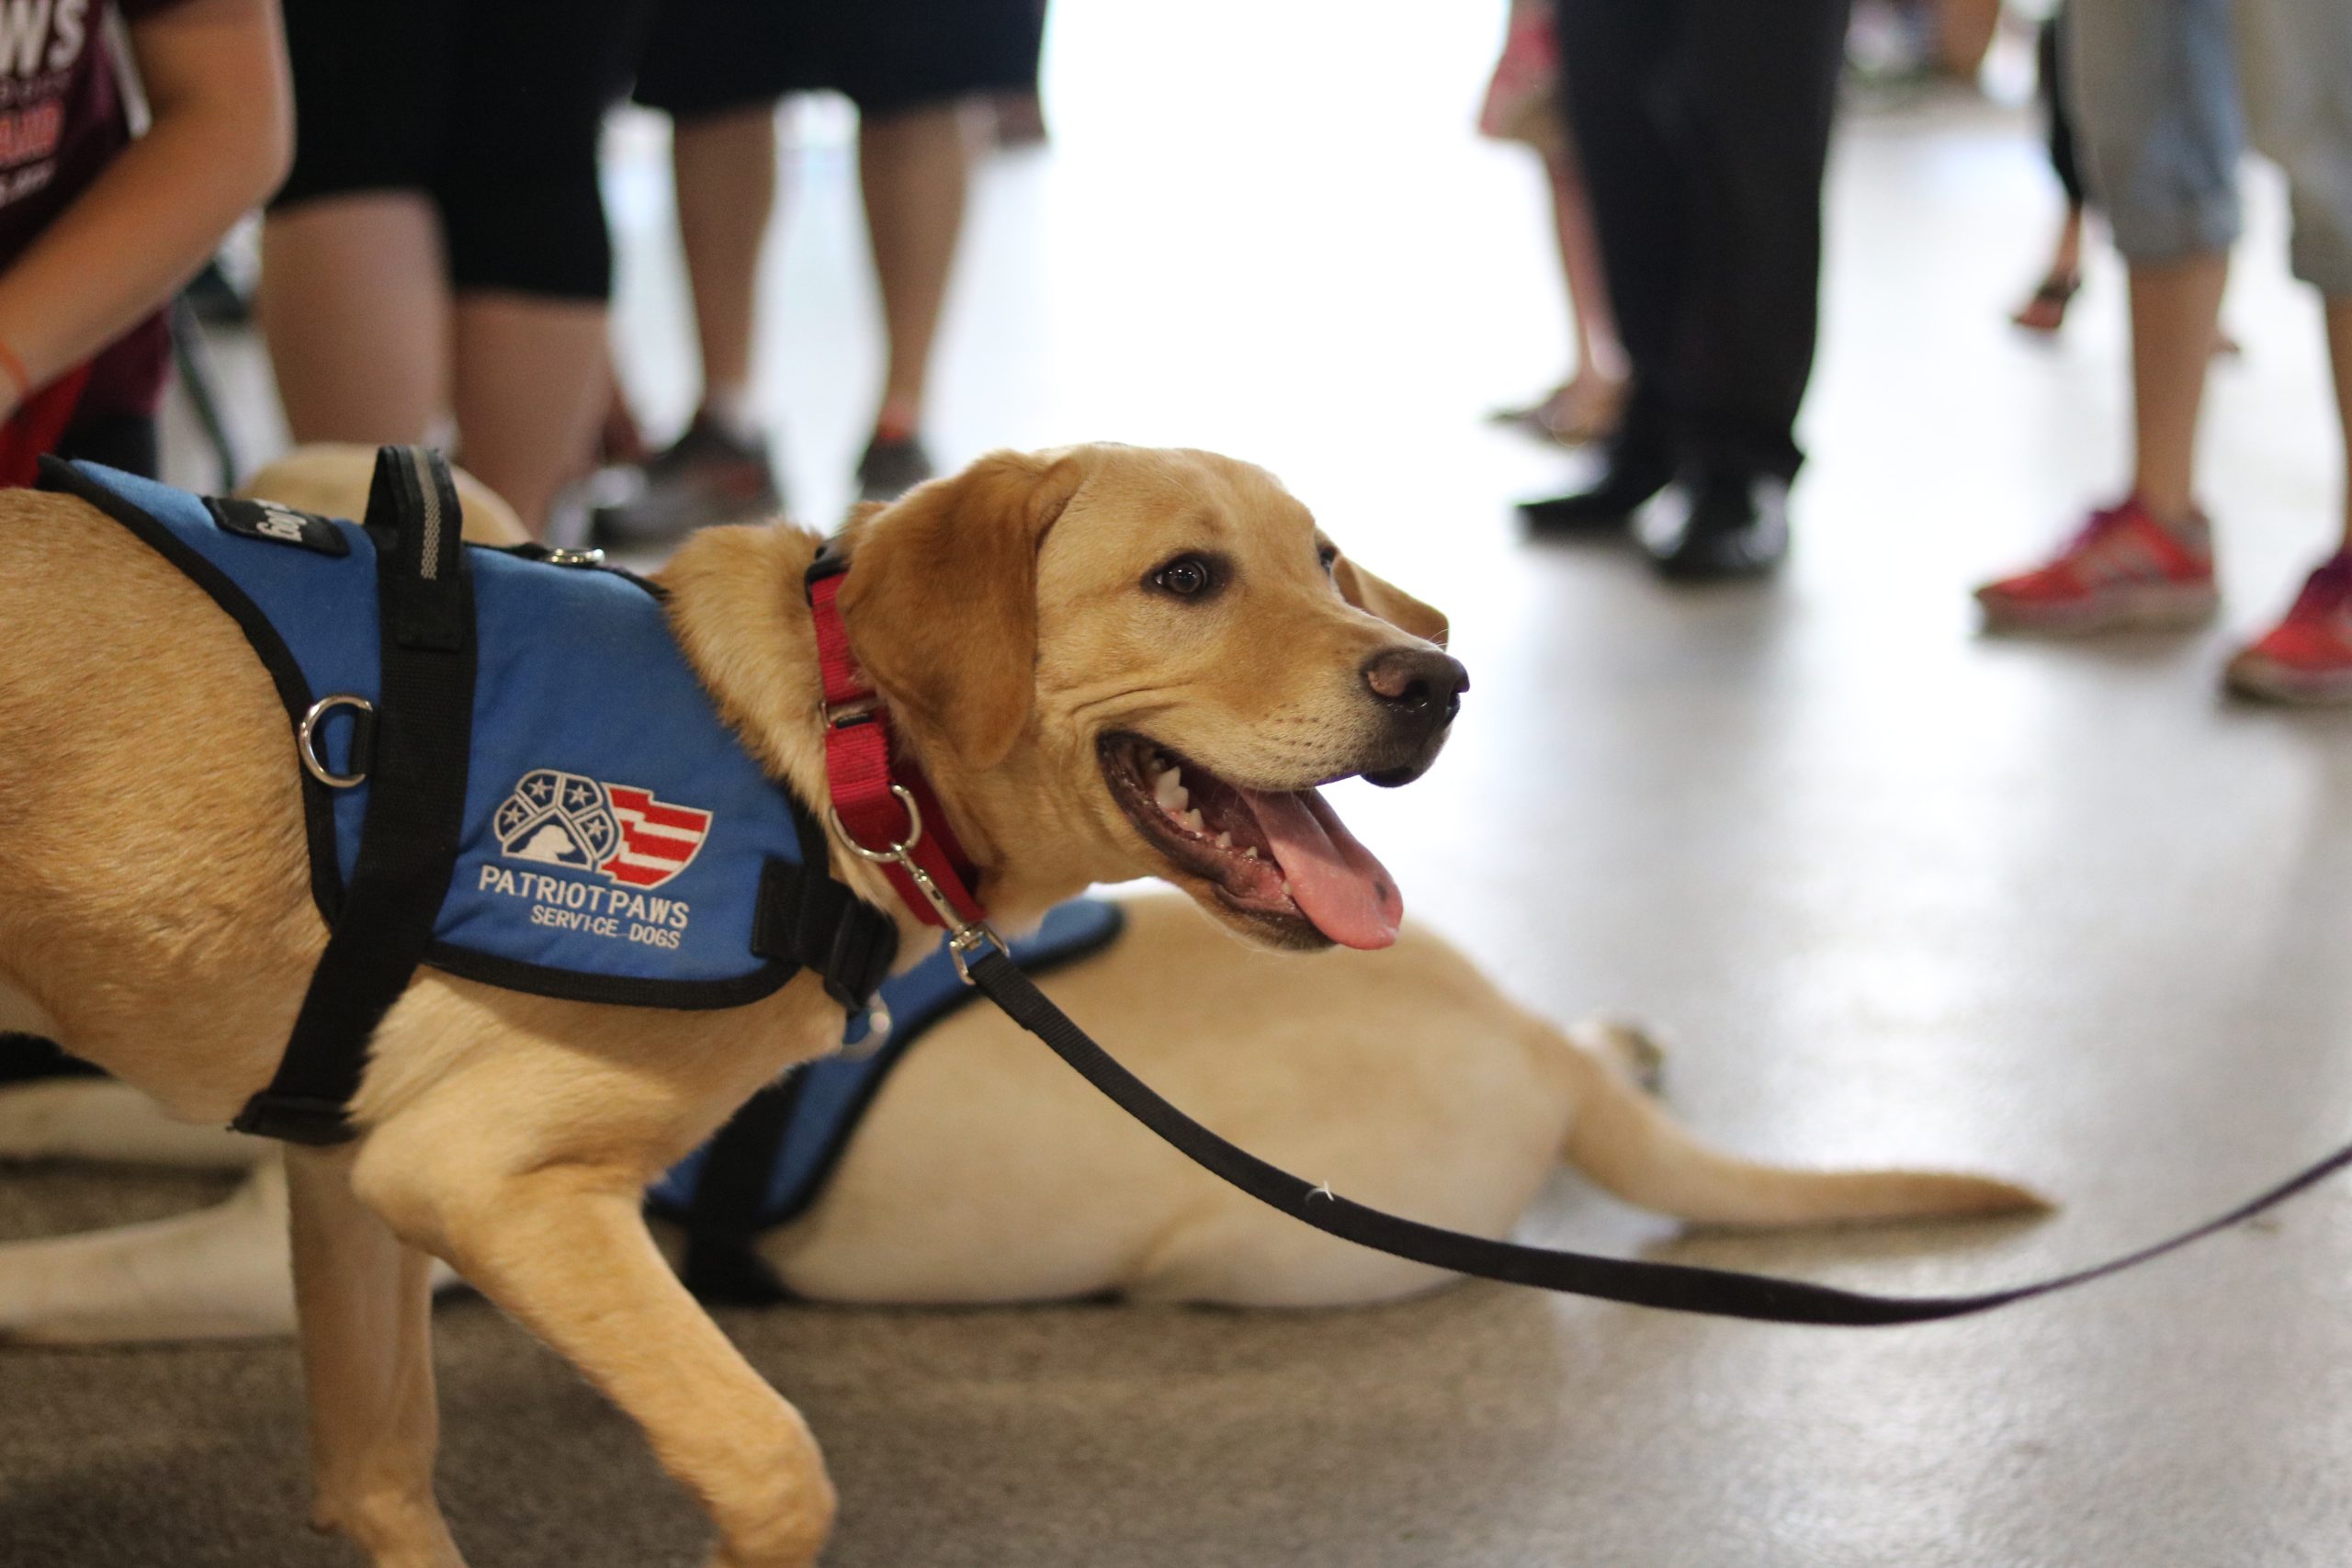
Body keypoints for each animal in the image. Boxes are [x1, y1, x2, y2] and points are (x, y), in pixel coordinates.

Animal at [0, 439, 1467, 1568]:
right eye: (1185, 578)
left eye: (1324, 561)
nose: (1436, 682)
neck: (845, 758)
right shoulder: (475, 1173)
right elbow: (771, 1459)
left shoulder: (339, 1163)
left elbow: (381, 1468)